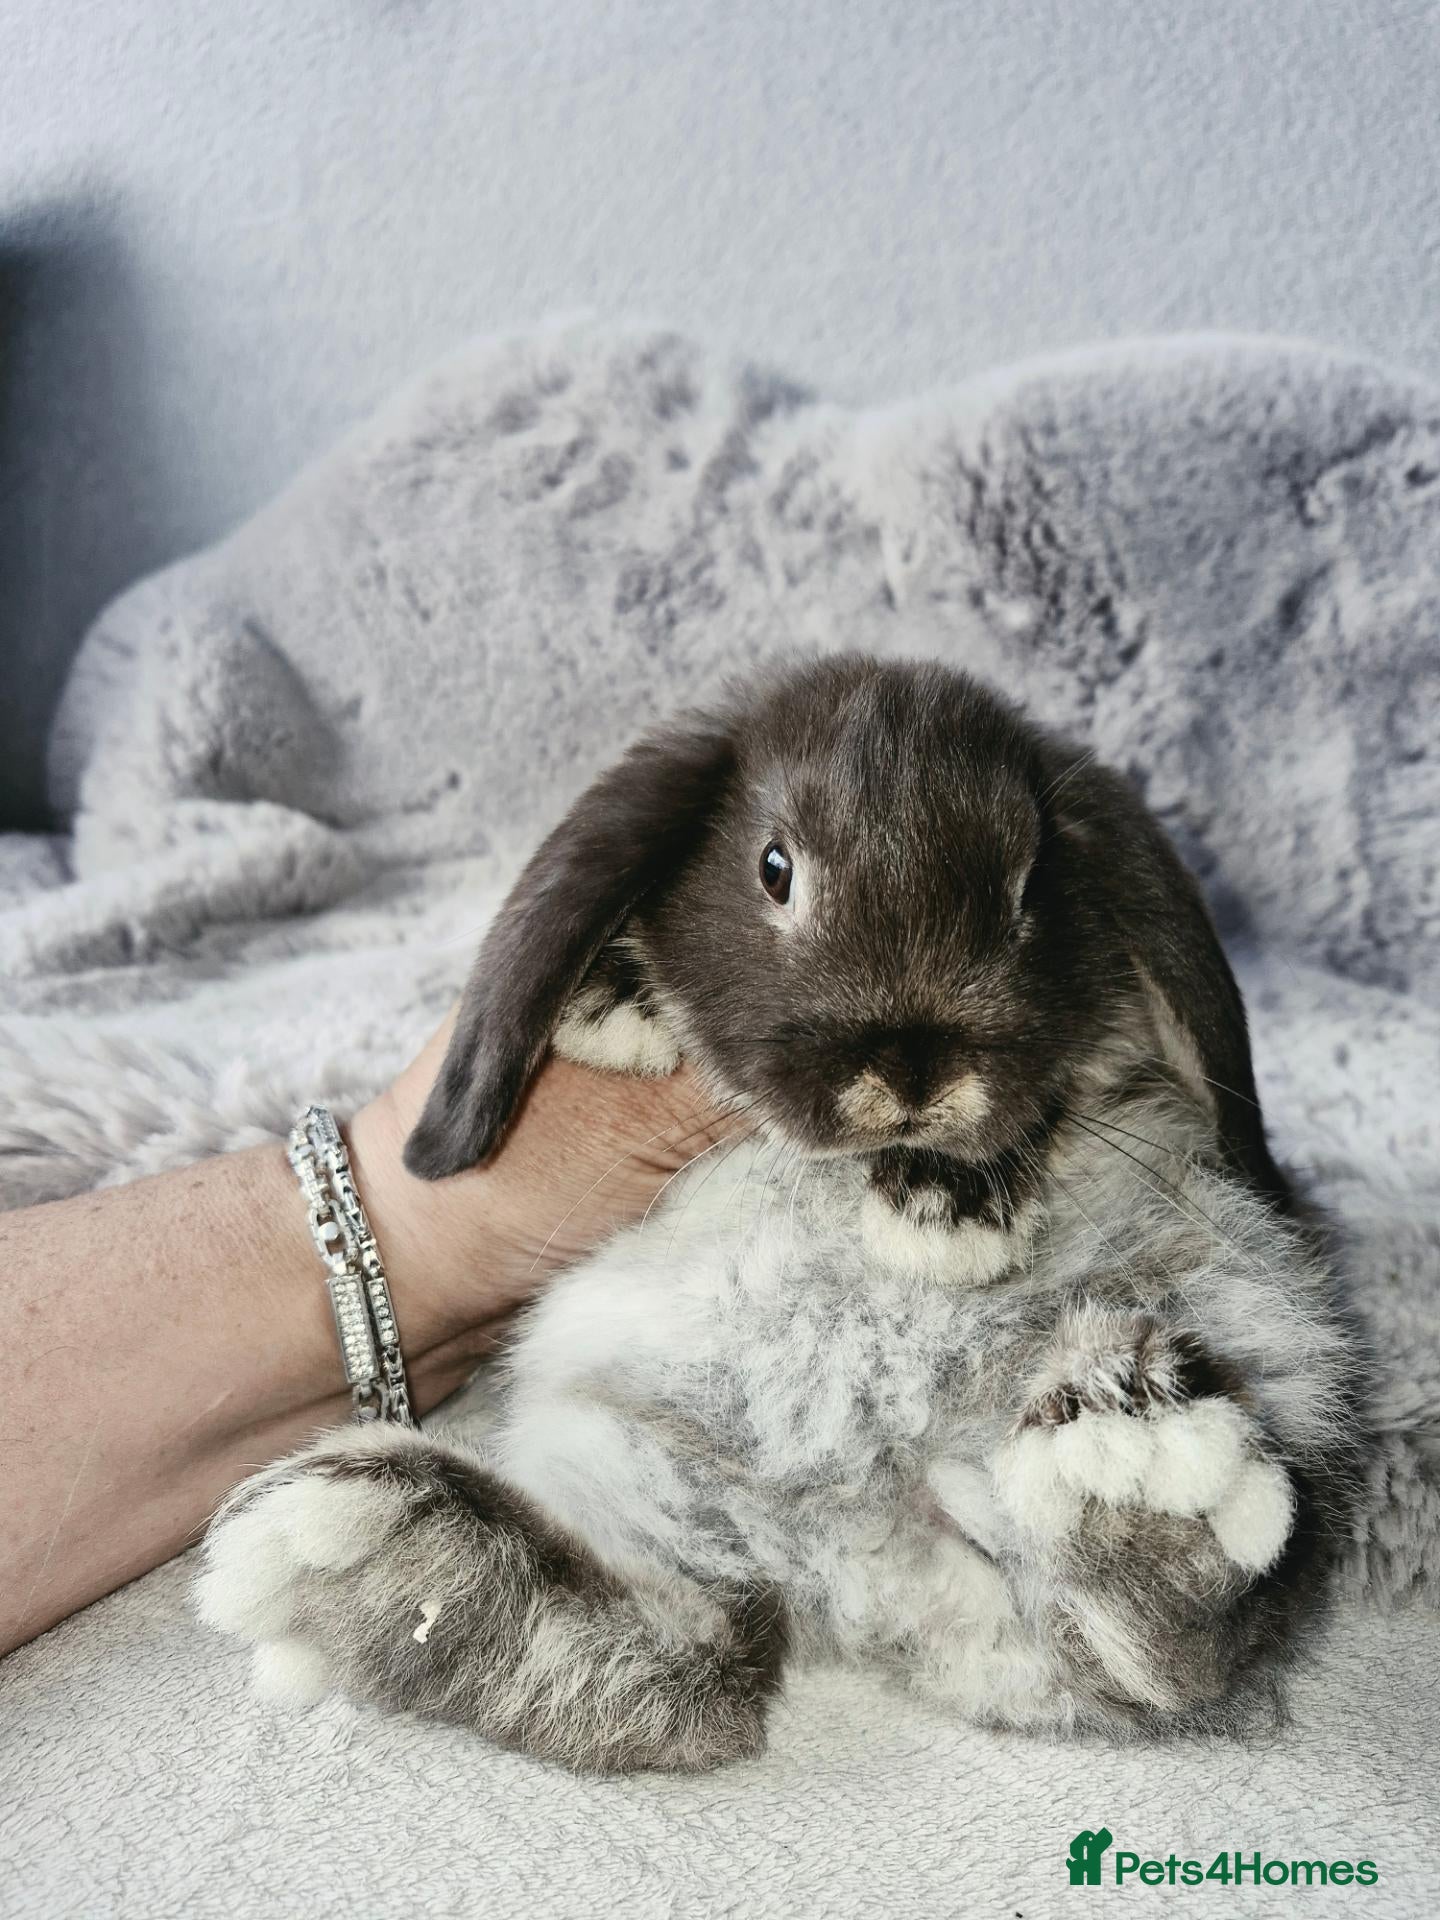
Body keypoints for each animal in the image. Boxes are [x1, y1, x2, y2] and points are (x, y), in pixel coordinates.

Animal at [197, 654, 1367, 1772]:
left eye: (1031, 887)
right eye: (775, 868)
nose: (911, 1072)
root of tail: (866, 1547)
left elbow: (1049, 1097)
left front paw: (948, 1208)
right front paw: (616, 1006)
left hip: (1258, 1331)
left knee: (1171, 1647)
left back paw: (1140, 1474)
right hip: (631, 1464)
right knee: (680, 1660)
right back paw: (382, 1552)